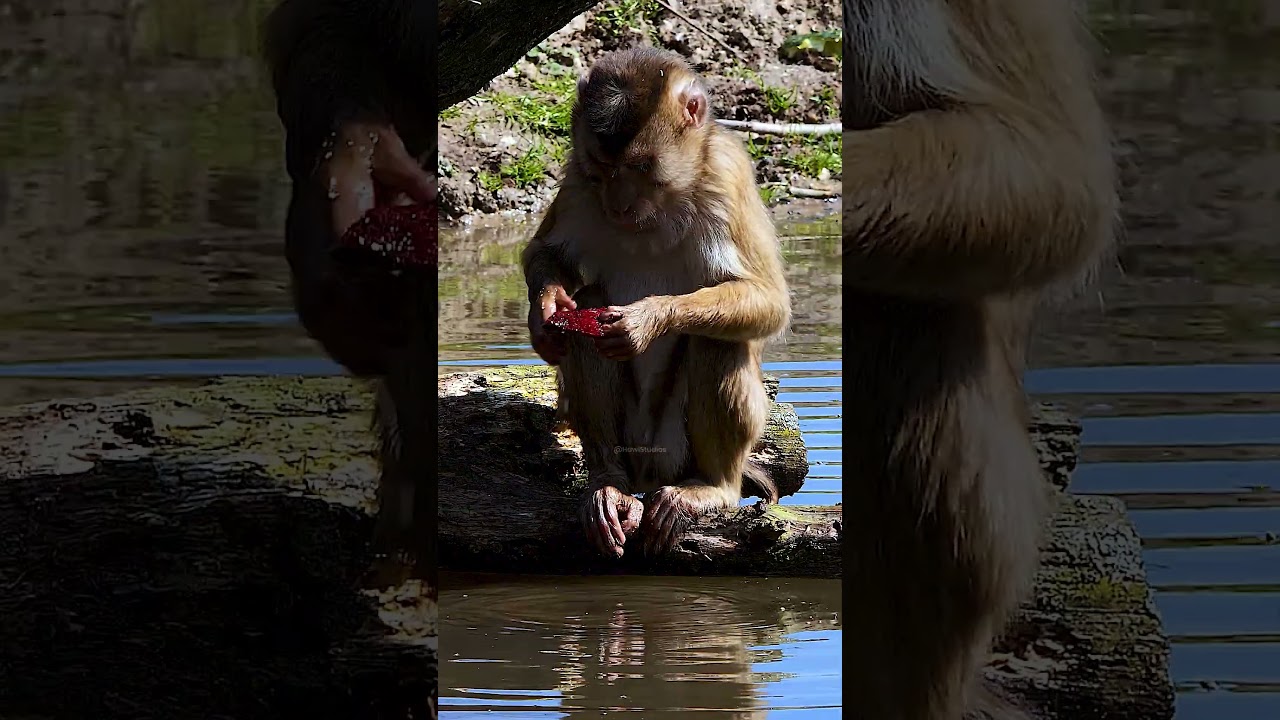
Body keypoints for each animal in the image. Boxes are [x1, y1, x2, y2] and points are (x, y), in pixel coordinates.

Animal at [520, 48, 791, 560]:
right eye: (603, 168)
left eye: (643, 167)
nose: (618, 206)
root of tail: (650, 470)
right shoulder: (578, 179)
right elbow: (546, 254)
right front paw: (544, 315)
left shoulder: (726, 174)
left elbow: (769, 301)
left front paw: (645, 321)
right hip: (634, 445)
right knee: (586, 318)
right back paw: (608, 485)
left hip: (673, 448)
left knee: (718, 342)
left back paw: (713, 487)